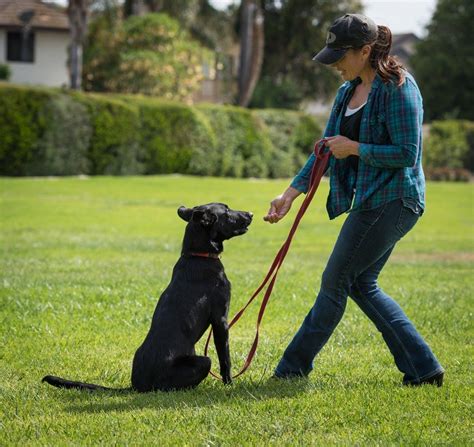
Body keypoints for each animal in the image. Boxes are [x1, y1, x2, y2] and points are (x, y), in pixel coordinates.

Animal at [42, 203, 254, 392]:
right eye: (226, 211)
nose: (251, 213)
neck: (198, 254)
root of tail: (137, 387)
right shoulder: (220, 320)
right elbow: (225, 359)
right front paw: (229, 384)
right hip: (202, 361)